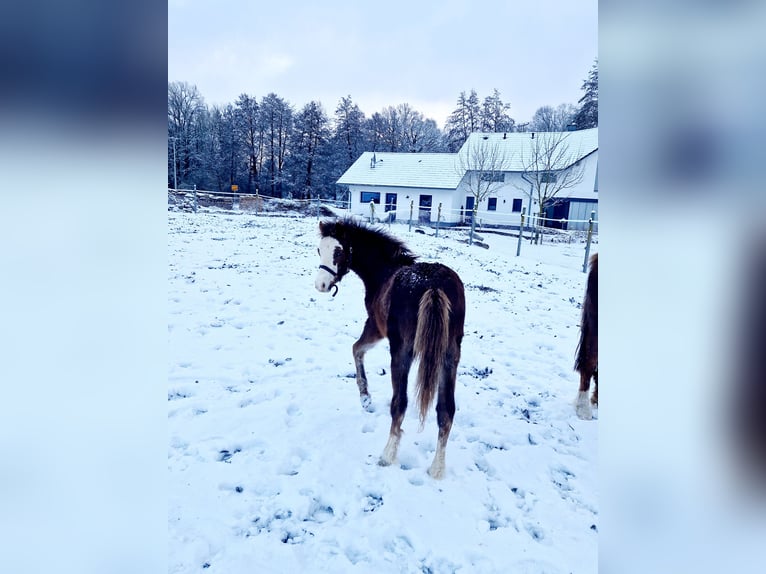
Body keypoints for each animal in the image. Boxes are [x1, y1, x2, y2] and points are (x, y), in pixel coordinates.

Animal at [314, 218, 468, 480]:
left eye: (338, 251)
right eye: (318, 250)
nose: (321, 285)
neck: (384, 271)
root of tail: (434, 286)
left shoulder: (376, 327)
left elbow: (356, 349)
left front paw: (365, 398)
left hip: (401, 351)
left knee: (400, 403)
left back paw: (387, 455)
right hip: (449, 355)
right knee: (446, 410)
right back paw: (437, 468)